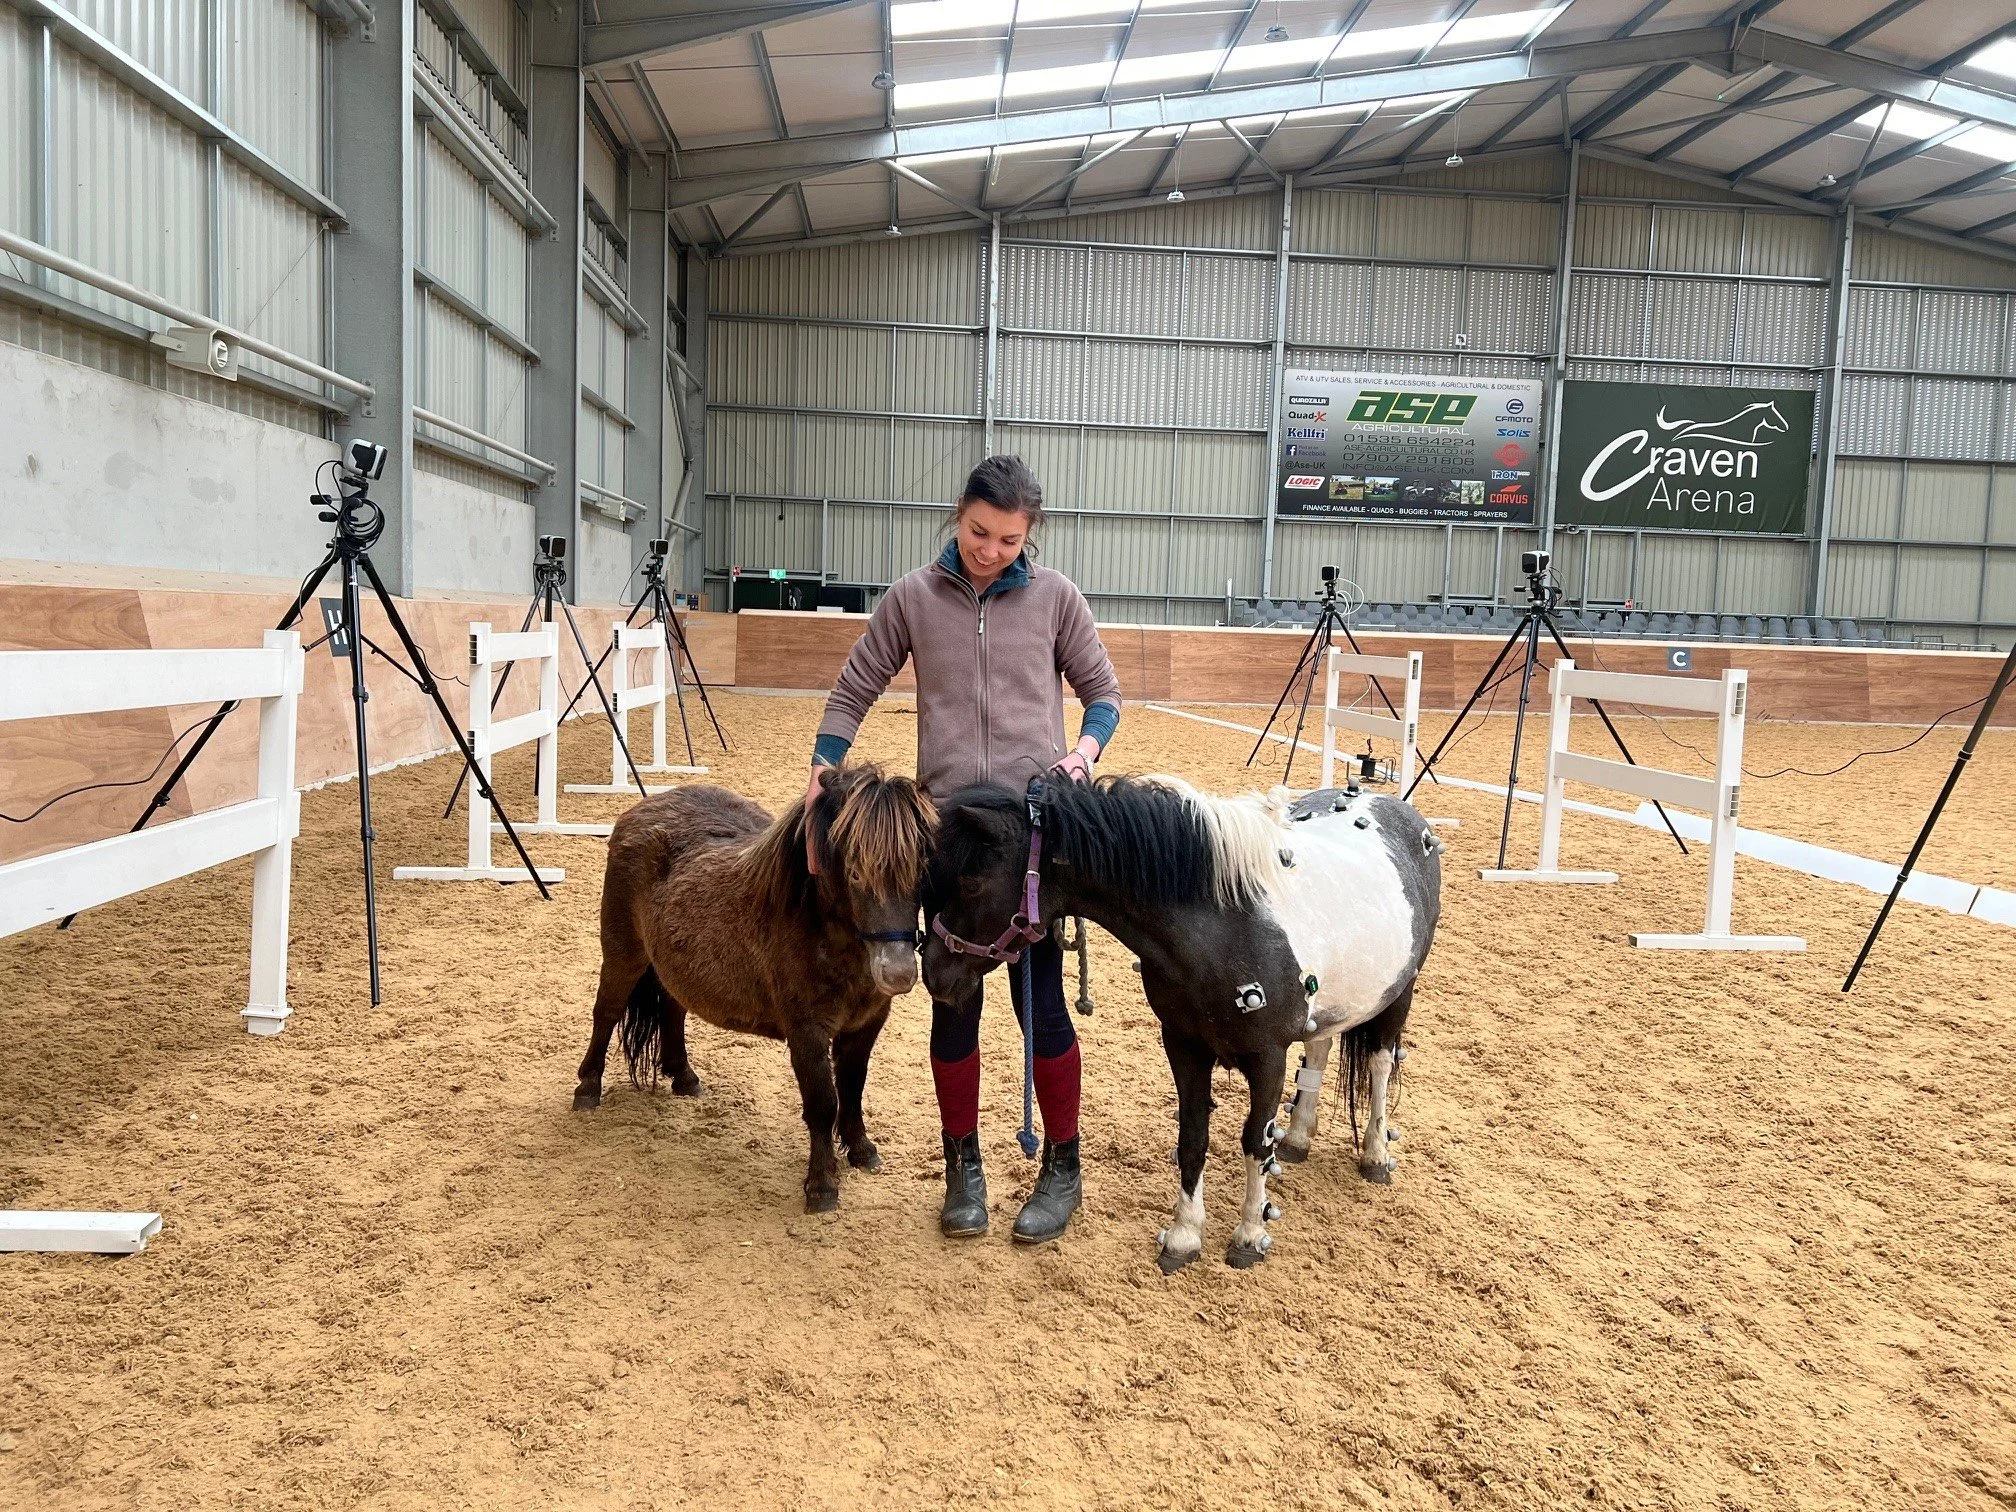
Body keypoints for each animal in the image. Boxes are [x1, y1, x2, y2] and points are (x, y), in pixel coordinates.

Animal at [573, 763, 936, 1213]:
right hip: (624, 954)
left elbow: (852, 1089)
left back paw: (684, 1077)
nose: (898, 973)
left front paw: (861, 1150)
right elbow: (822, 1103)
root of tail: (641, 809)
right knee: (606, 1012)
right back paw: (588, 1088)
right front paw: (821, 1185)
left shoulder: (866, 1025)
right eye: (855, 872)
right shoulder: (806, 1033)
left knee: (673, 1008)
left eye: (921, 869)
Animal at [923, 775, 1440, 1272]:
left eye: (970, 882)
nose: (932, 970)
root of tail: (1400, 811)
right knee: (1321, 1047)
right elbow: (1192, 1138)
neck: (1226, 925)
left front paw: (1250, 1236)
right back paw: (1296, 1137)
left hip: (1400, 994)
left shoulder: (1268, 1057)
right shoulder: (1184, 1046)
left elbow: (1255, 1142)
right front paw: (1184, 1236)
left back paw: (1376, 1154)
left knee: (1379, 1066)